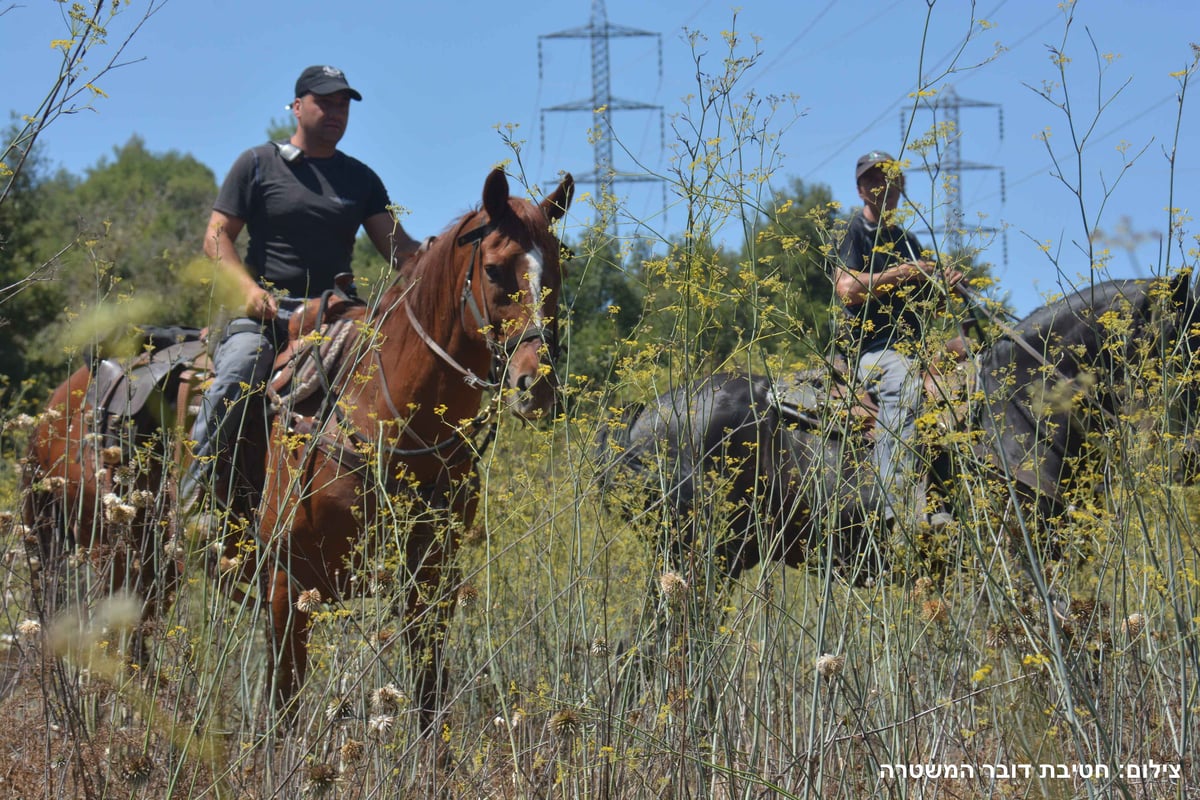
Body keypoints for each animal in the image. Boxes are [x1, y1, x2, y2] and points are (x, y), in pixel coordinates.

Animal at [256, 169, 571, 724]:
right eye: (494, 269)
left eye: (556, 270)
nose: (537, 387)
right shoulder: (286, 585)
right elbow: (283, 706)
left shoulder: (430, 585)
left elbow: (428, 698)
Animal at [600, 273, 1200, 582]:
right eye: (1187, 337)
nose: (1190, 459)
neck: (1020, 401)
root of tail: (638, 422)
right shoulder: (1015, 555)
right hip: (699, 556)